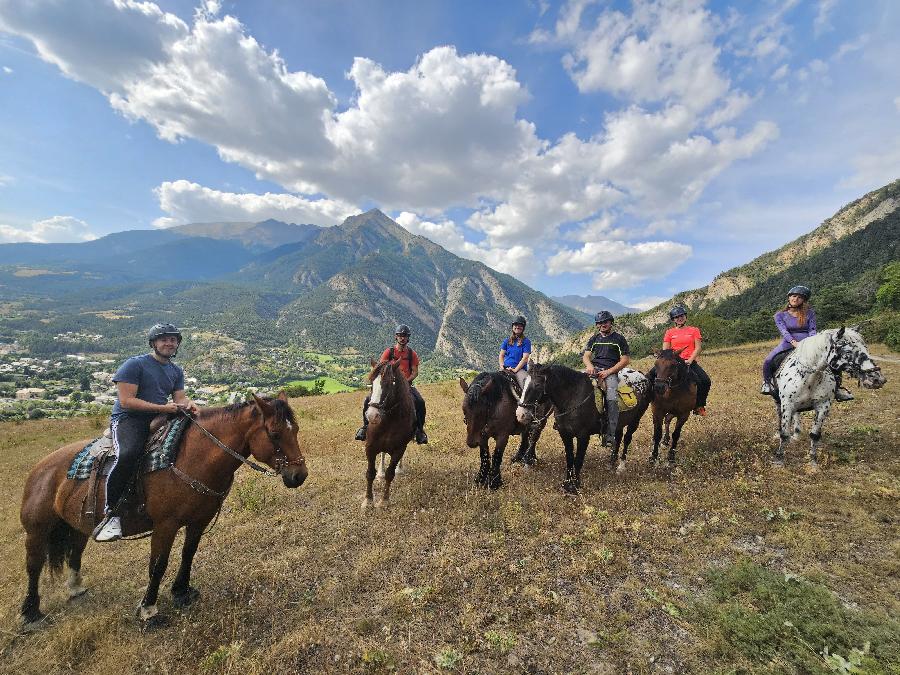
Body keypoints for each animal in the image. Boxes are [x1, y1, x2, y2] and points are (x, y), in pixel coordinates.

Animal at [19, 394, 308, 632]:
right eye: (274, 434)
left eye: (295, 430)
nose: (299, 475)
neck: (193, 457)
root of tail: (40, 468)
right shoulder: (165, 525)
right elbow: (158, 565)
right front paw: (149, 610)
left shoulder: (199, 520)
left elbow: (188, 554)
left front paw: (181, 591)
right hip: (37, 530)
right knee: (34, 565)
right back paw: (30, 613)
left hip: (77, 524)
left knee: (75, 551)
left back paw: (76, 587)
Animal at [362, 362, 414, 510]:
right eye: (371, 384)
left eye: (389, 384)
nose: (372, 415)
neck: (389, 419)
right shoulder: (370, 447)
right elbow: (370, 473)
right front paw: (368, 500)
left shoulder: (399, 449)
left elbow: (390, 474)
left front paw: (384, 500)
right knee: (383, 454)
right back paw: (380, 471)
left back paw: (399, 469)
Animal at [516, 362, 652, 494]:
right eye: (524, 381)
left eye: (538, 385)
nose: (520, 414)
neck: (572, 398)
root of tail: (642, 376)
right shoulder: (565, 434)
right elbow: (570, 458)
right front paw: (567, 484)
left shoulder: (583, 436)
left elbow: (578, 459)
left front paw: (575, 486)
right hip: (619, 422)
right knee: (617, 437)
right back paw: (611, 463)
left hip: (635, 420)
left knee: (627, 439)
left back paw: (621, 467)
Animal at [768, 324, 888, 468]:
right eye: (847, 352)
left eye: (866, 347)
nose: (877, 379)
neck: (810, 378)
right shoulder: (787, 404)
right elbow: (784, 434)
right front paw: (779, 459)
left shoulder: (823, 406)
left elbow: (814, 434)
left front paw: (813, 461)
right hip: (779, 402)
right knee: (780, 416)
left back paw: (796, 434)